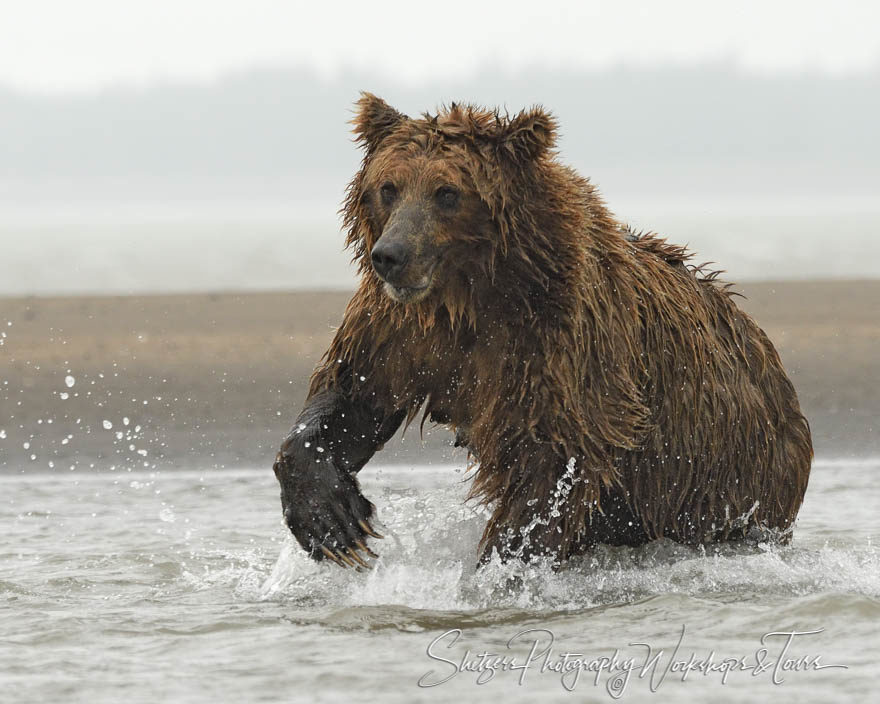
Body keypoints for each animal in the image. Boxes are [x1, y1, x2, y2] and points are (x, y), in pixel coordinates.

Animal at [272, 93, 816, 568]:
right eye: (389, 187)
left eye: (447, 193)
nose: (391, 255)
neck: (473, 296)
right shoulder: (402, 329)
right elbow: (355, 394)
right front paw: (334, 522)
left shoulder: (559, 344)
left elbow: (554, 461)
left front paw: (499, 568)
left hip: (726, 475)